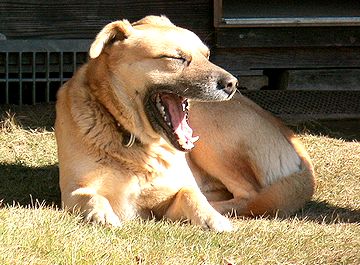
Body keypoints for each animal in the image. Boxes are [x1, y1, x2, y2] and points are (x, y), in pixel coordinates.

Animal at [54, 16, 316, 231]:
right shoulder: (73, 190)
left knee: (248, 195)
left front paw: (212, 218)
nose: (232, 84)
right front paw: (102, 214)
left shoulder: (176, 191)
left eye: (207, 56)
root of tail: (285, 131)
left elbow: (191, 194)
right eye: (176, 58)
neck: (137, 143)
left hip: (213, 141)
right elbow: (91, 197)